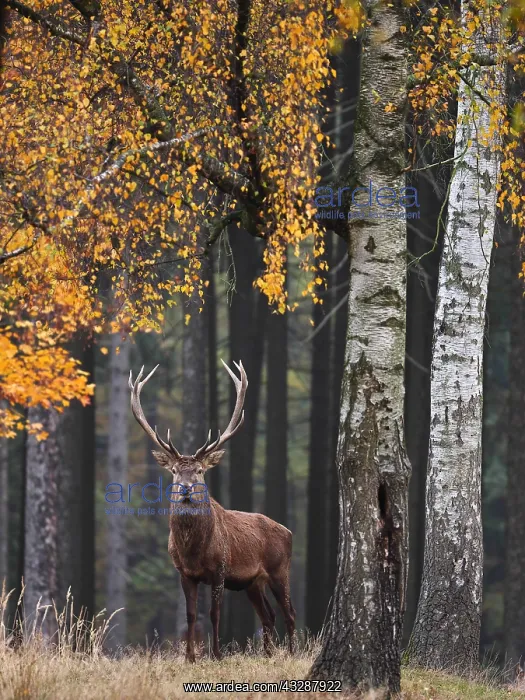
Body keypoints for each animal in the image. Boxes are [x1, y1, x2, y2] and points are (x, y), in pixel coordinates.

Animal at [128, 360, 296, 662]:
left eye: (199, 470)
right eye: (174, 470)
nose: (185, 489)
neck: (194, 550)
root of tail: (289, 531)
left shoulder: (221, 568)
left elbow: (214, 613)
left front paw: (217, 654)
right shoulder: (184, 573)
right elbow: (191, 615)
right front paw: (190, 657)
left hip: (280, 569)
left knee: (290, 613)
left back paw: (291, 652)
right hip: (252, 583)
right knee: (269, 616)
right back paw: (267, 654)